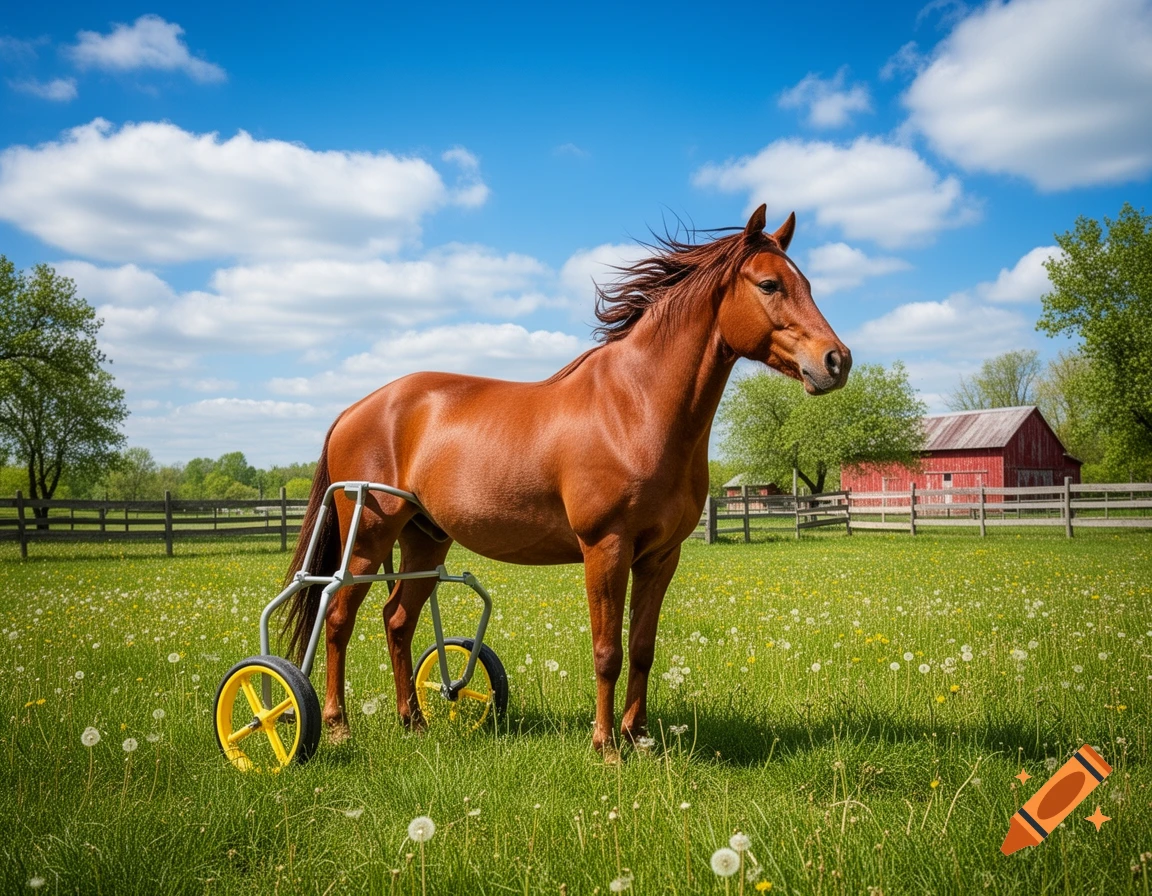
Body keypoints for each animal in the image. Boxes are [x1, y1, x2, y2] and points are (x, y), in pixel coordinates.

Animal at [282, 204, 851, 754]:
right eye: (769, 284)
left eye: (807, 284)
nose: (837, 361)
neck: (635, 408)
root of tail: (356, 408)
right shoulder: (606, 549)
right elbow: (607, 651)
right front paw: (606, 745)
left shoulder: (661, 556)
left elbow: (642, 648)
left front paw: (638, 737)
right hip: (368, 537)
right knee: (337, 619)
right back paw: (336, 726)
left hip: (425, 541)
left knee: (397, 621)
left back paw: (414, 722)